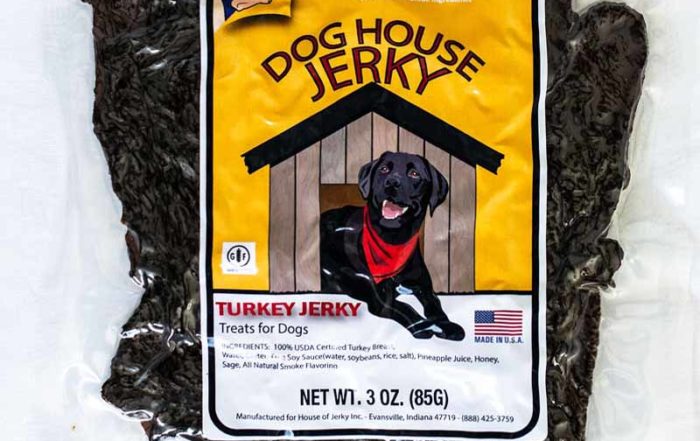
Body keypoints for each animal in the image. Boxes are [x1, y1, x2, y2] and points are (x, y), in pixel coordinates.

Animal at [320, 151, 465, 341]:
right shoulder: (379, 299)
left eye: (414, 173)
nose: (392, 182)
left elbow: (435, 305)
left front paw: (448, 325)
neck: (394, 241)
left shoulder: (424, 286)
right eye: (383, 169)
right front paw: (423, 327)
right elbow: (406, 307)